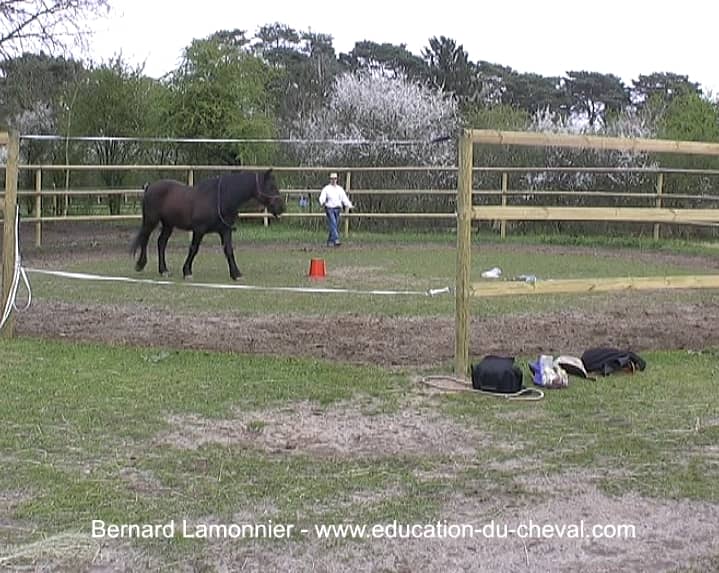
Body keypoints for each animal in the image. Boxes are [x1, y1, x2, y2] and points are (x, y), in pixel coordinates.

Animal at [132, 168, 284, 280]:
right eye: (271, 186)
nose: (282, 207)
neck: (219, 198)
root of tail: (150, 187)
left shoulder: (225, 230)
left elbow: (229, 250)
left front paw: (236, 274)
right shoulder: (199, 230)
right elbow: (194, 249)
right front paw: (187, 272)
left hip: (168, 225)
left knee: (161, 243)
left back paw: (163, 270)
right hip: (150, 221)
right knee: (145, 239)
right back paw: (140, 264)